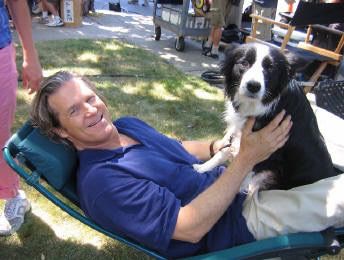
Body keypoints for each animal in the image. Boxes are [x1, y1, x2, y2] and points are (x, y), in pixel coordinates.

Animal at [195, 41, 338, 190]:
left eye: (270, 68)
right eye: (244, 63)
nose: (253, 86)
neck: (256, 104)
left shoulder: (270, 154)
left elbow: (245, 169)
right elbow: (225, 150)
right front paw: (202, 168)